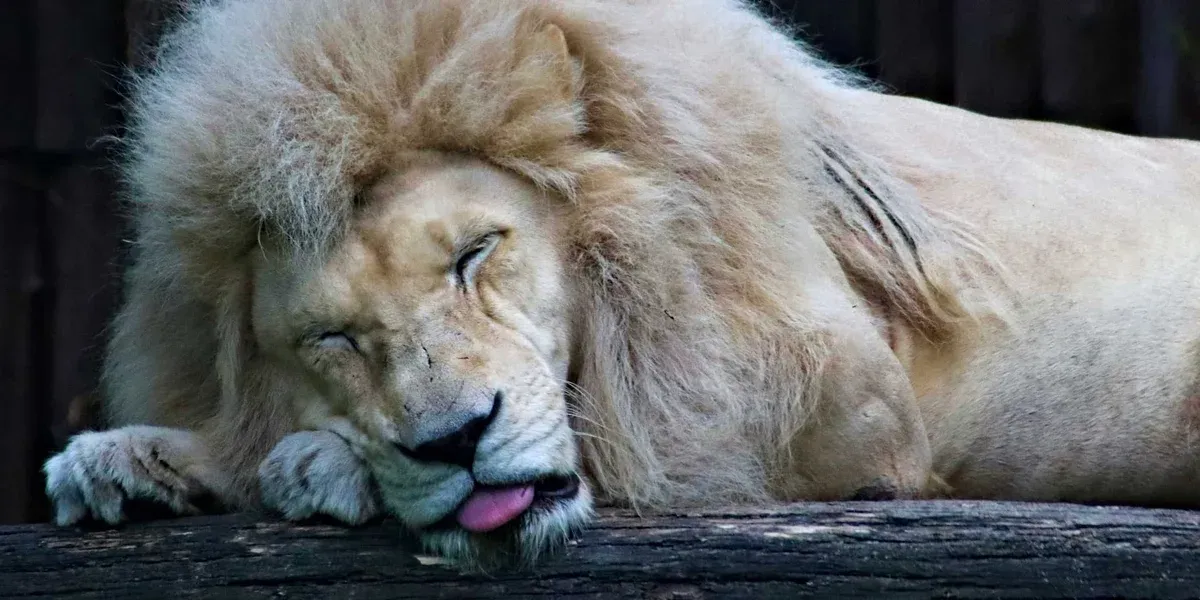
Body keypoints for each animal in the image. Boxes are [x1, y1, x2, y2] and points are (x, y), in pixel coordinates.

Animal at [43, 0, 1200, 569]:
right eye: (333, 338)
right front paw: (134, 460)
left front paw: (319, 463)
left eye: (475, 253)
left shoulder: (844, 405)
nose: (454, 443)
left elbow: (623, 416)